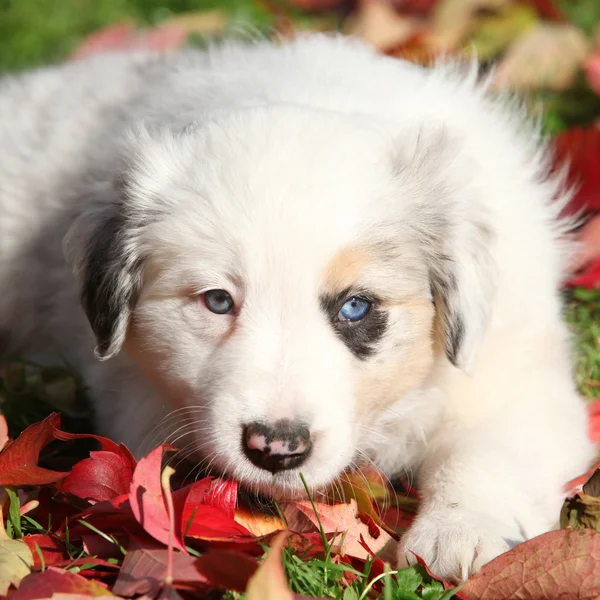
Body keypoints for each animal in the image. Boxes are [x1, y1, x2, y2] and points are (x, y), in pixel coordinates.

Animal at [0, 32, 592, 580]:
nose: (276, 448)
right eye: (218, 301)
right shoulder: (137, 393)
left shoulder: (513, 376)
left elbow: (492, 452)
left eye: (355, 307)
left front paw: (462, 534)